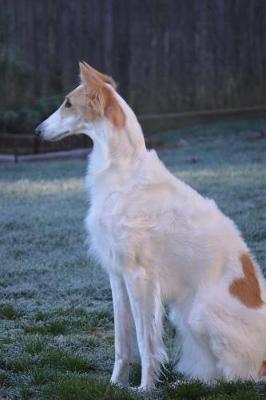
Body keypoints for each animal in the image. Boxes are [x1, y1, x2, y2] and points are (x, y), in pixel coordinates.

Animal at [35, 62, 266, 390]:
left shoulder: (139, 276)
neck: (123, 172)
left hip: (199, 314)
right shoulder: (116, 274)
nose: (37, 131)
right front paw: (115, 384)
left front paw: (145, 388)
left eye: (67, 103)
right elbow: (122, 343)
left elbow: (146, 343)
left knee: (238, 377)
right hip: (184, 316)